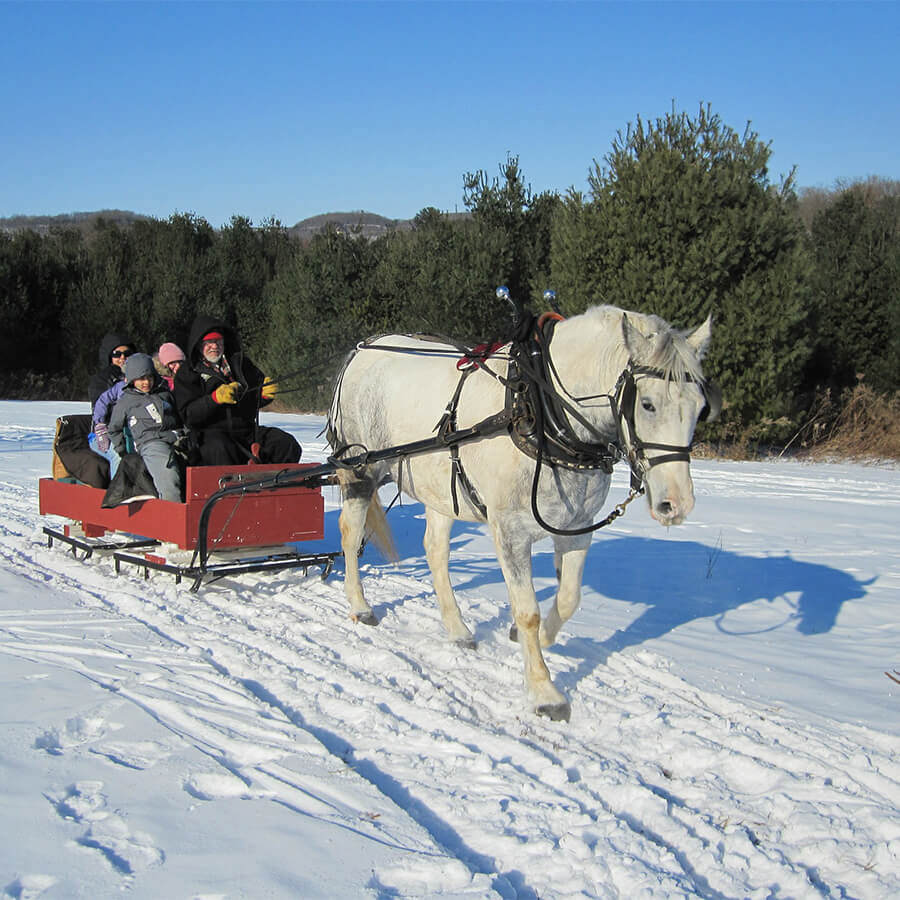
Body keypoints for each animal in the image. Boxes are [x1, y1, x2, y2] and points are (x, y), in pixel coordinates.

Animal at [326, 306, 712, 720]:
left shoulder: (577, 528)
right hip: (361, 469)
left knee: (436, 551)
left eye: (699, 408)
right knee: (350, 532)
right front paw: (545, 692)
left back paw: (457, 629)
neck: (542, 414)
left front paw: (538, 638)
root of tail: (363, 348)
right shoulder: (510, 531)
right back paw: (361, 605)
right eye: (648, 404)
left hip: (441, 488)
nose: (677, 503)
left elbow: (568, 597)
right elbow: (528, 610)